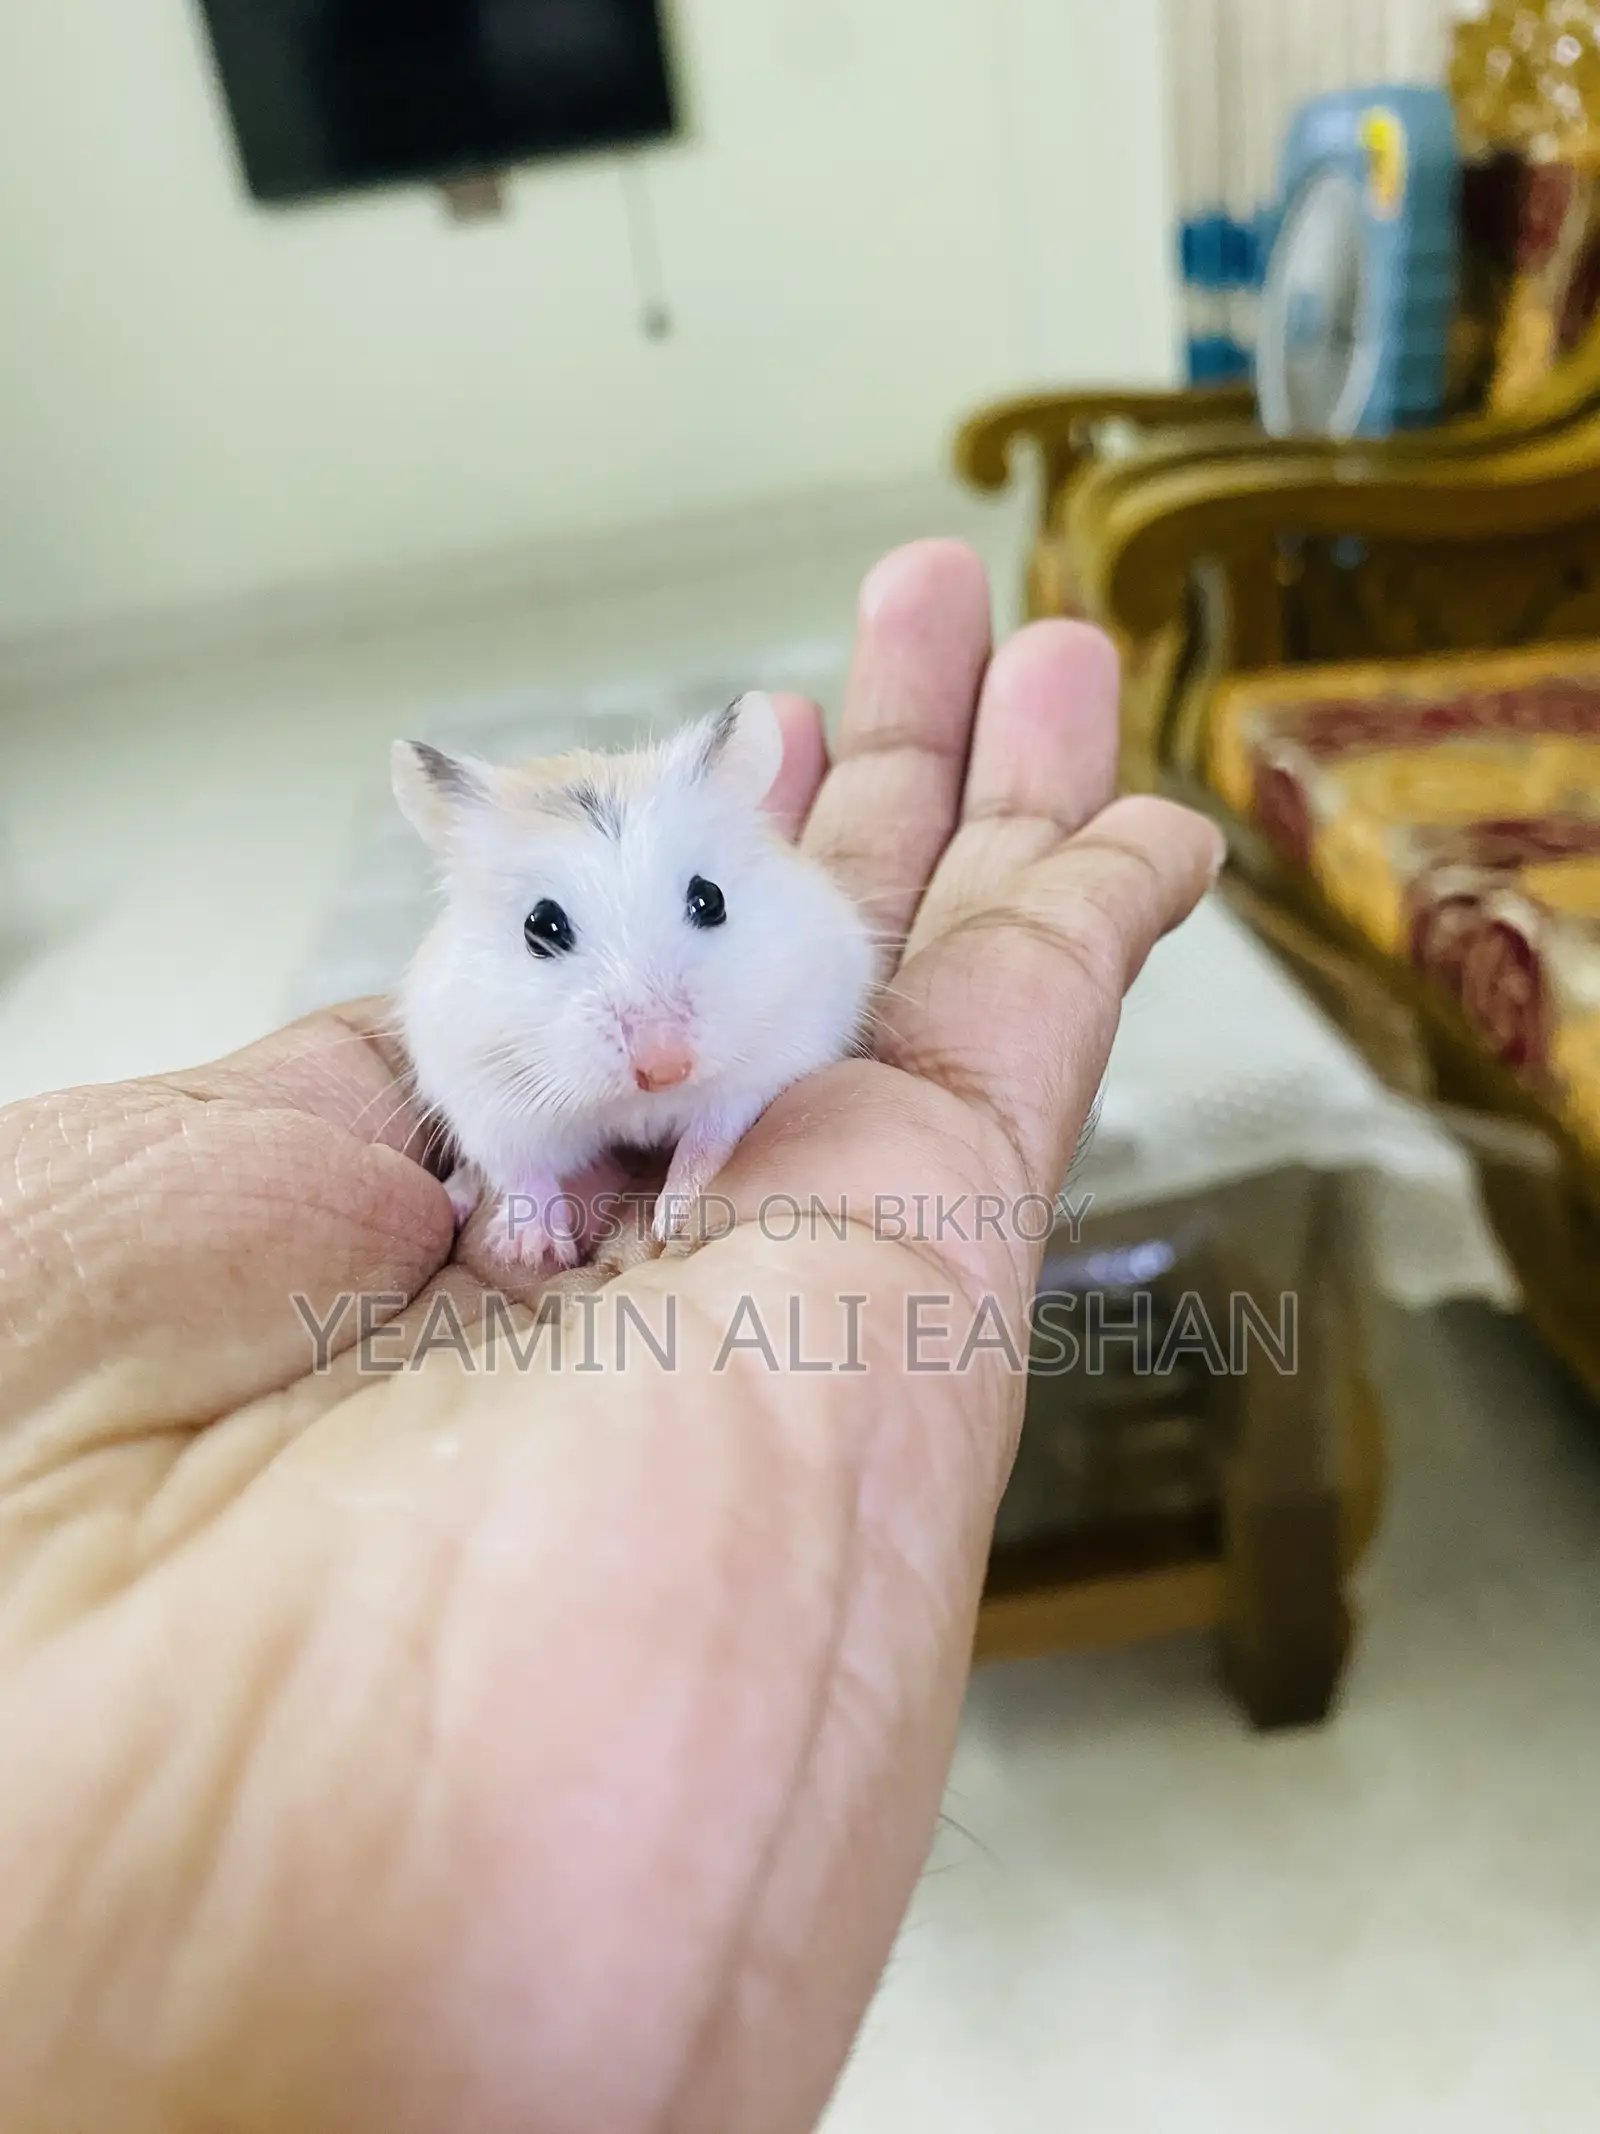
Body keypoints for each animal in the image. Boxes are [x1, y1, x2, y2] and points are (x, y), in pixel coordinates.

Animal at [392, 692, 876, 1271]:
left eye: (710, 898)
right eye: (540, 926)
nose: (664, 1070)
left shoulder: (775, 1049)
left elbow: (710, 1134)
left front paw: (674, 1217)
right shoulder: (483, 1093)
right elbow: (521, 1171)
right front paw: (535, 1250)